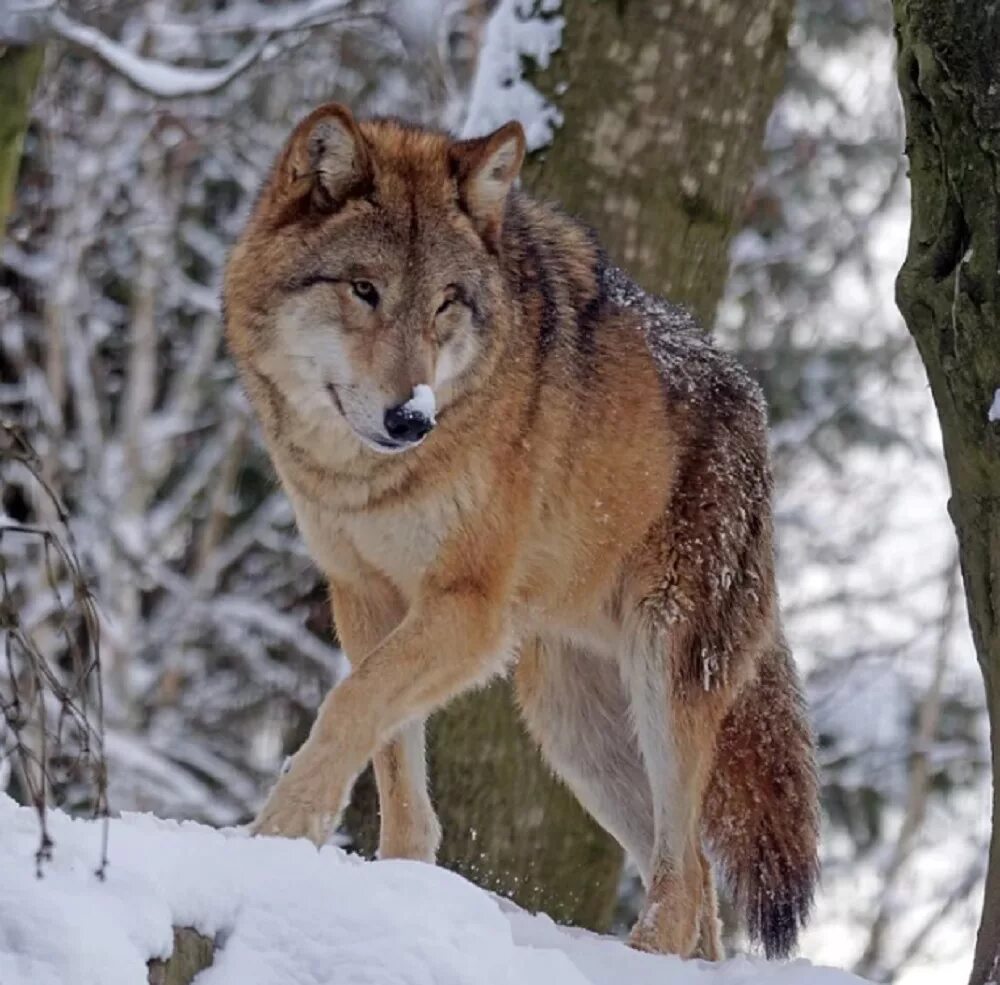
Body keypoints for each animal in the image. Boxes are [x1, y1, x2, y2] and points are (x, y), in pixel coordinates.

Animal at [227, 104, 820, 956]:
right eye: (364, 289)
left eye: (446, 300)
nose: (410, 418)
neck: (369, 480)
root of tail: (755, 410)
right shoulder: (365, 598)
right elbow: (391, 757)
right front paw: (398, 885)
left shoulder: (469, 610)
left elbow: (346, 707)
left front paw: (277, 834)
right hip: (575, 726)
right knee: (699, 884)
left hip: (663, 682)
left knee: (683, 879)